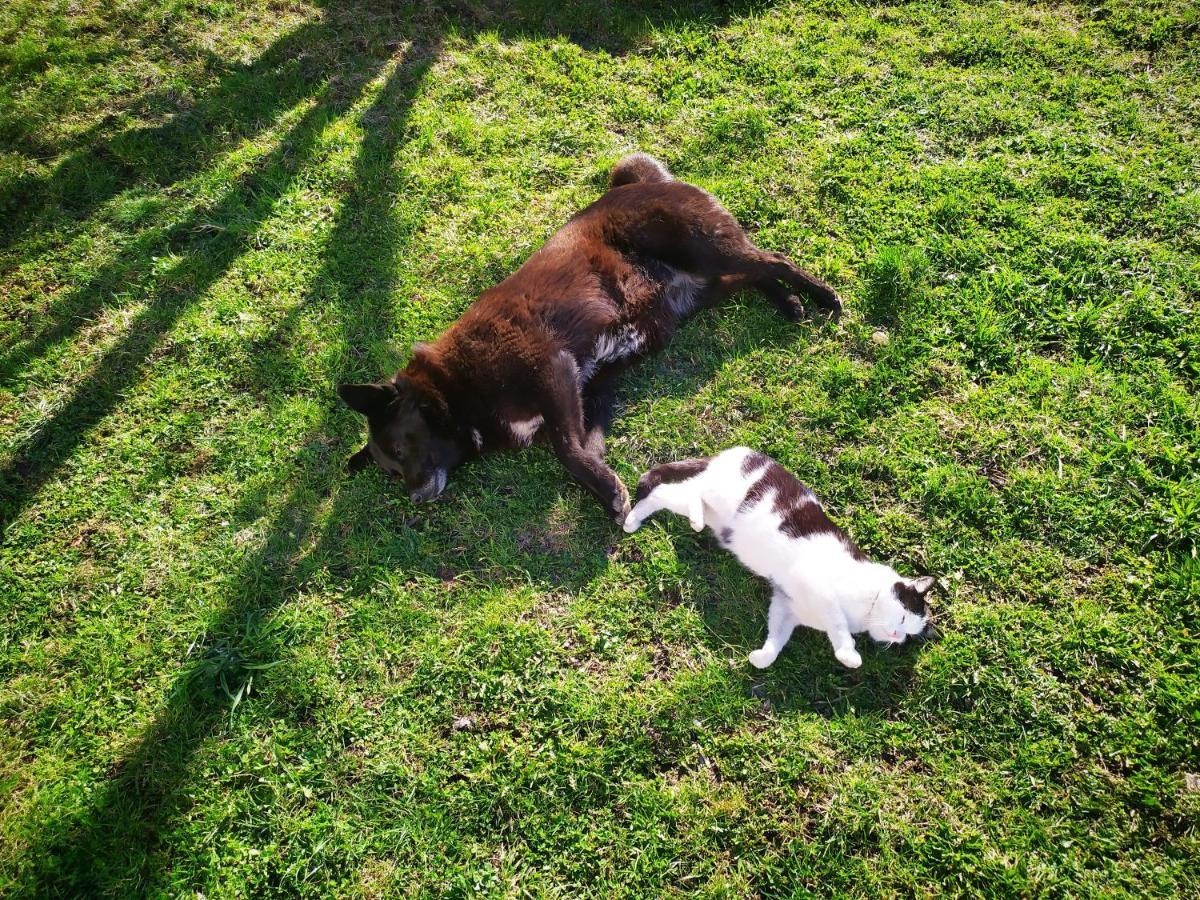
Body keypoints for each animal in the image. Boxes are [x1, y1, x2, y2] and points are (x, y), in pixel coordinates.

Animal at [624, 448, 931, 672]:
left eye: (908, 634)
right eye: (903, 617)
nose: (896, 637)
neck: (867, 608)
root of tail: (735, 450)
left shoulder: (786, 605)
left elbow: (777, 638)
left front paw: (761, 657)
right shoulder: (815, 583)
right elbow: (837, 621)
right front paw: (848, 654)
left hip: (714, 512)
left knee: (664, 495)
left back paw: (633, 519)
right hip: (723, 494)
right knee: (692, 491)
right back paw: (689, 519)